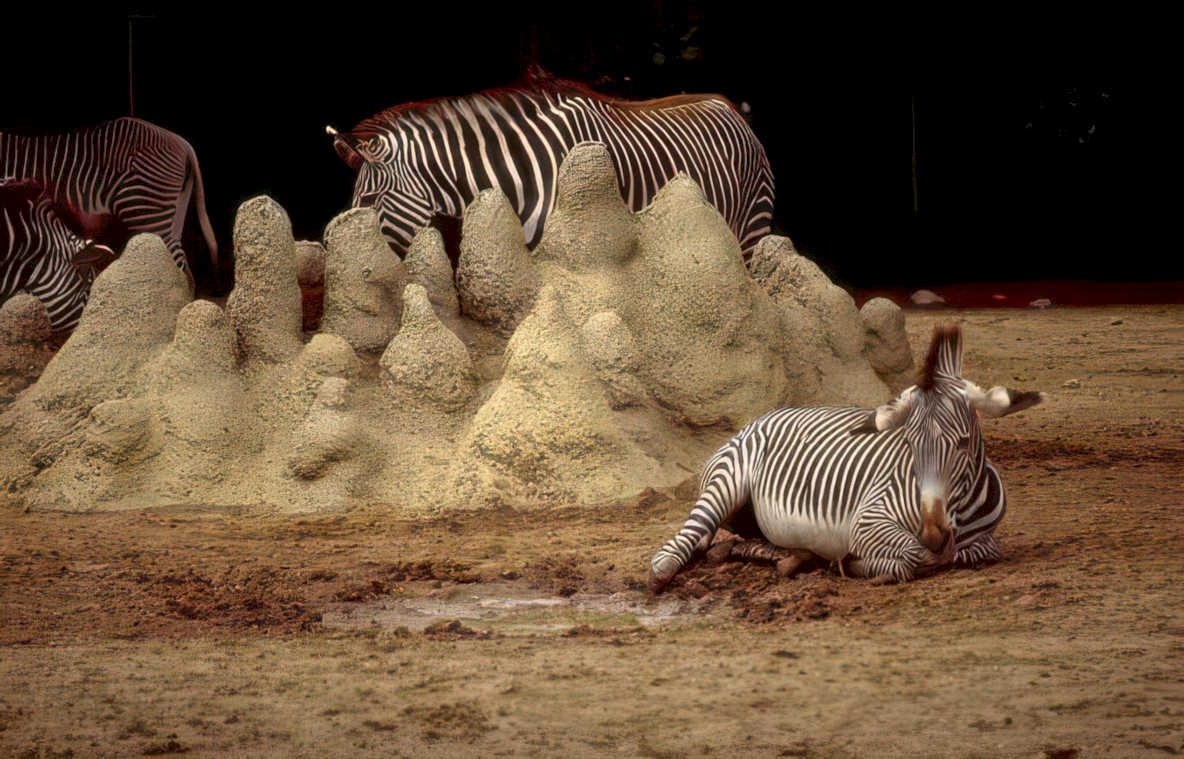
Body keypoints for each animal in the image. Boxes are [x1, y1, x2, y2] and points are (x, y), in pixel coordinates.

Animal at [649, 325, 1045, 591]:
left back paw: (789, 557)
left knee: (744, 542)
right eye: (909, 444)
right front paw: (862, 565)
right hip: (726, 483)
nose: (934, 534)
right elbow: (916, 555)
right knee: (680, 543)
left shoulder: (983, 539)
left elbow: (978, 550)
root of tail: (764, 415)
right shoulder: (867, 520)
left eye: (962, 443)